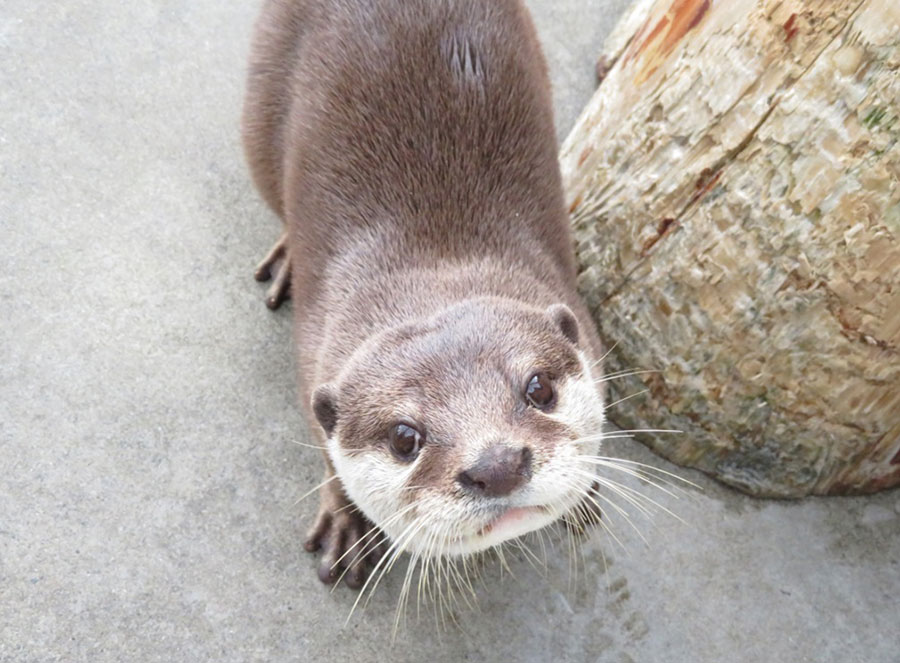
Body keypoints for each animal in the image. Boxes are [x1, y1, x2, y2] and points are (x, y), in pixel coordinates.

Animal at [241, 0, 604, 592]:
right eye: (403, 438)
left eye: (540, 388)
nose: (497, 466)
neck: (434, 265)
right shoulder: (313, 368)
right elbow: (327, 453)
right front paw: (346, 522)